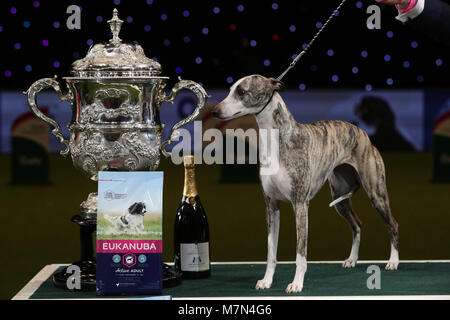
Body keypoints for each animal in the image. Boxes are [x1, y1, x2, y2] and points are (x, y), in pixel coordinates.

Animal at [213, 74, 400, 292]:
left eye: (241, 91)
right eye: (230, 90)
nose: (215, 111)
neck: (279, 139)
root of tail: (363, 134)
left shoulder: (300, 204)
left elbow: (300, 253)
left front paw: (296, 283)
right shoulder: (271, 205)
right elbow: (271, 252)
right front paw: (266, 281)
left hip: (376, 193)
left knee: (393, 224)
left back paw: (393, 261)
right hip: (340, 198)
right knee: (357, 224)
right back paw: (352, 259)